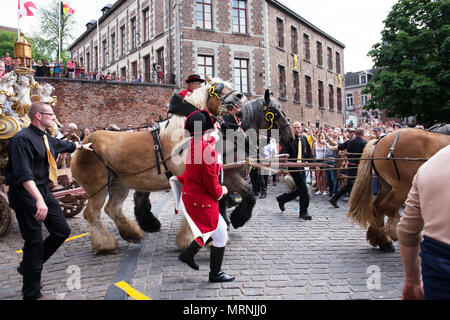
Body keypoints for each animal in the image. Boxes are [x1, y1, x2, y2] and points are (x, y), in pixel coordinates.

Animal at [71, 76, 246, 254]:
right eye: (217, 88)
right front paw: (191, 239)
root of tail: (84, 143)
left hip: (119, 184)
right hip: (97, 188)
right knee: (92, 214)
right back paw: (106, 245)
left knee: (112, 209)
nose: (240, 96)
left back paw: (133, 233)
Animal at [174, 89, 294, 249]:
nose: (291, 137)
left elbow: (223, 202)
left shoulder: (225, 182)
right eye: (275, 114)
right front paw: (238, 219)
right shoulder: (232, 178)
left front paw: (226, 222)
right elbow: (249, 196)